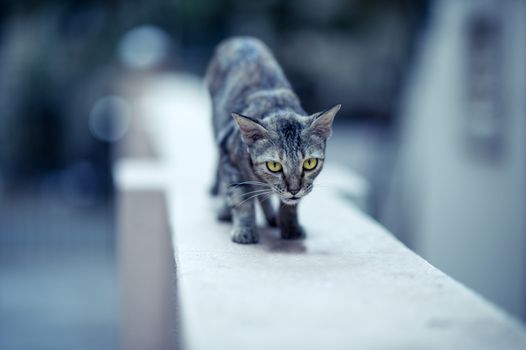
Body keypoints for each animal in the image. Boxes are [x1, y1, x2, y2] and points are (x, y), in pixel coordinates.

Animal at [204, 36, 340, 243]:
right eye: (274, 166)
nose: (294, 190)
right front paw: (244, 228)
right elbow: (241, 198)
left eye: (309, 163)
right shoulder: (228, 155)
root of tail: (241, 38)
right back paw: (225, 209)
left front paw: (290, 225)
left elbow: (290, 205)